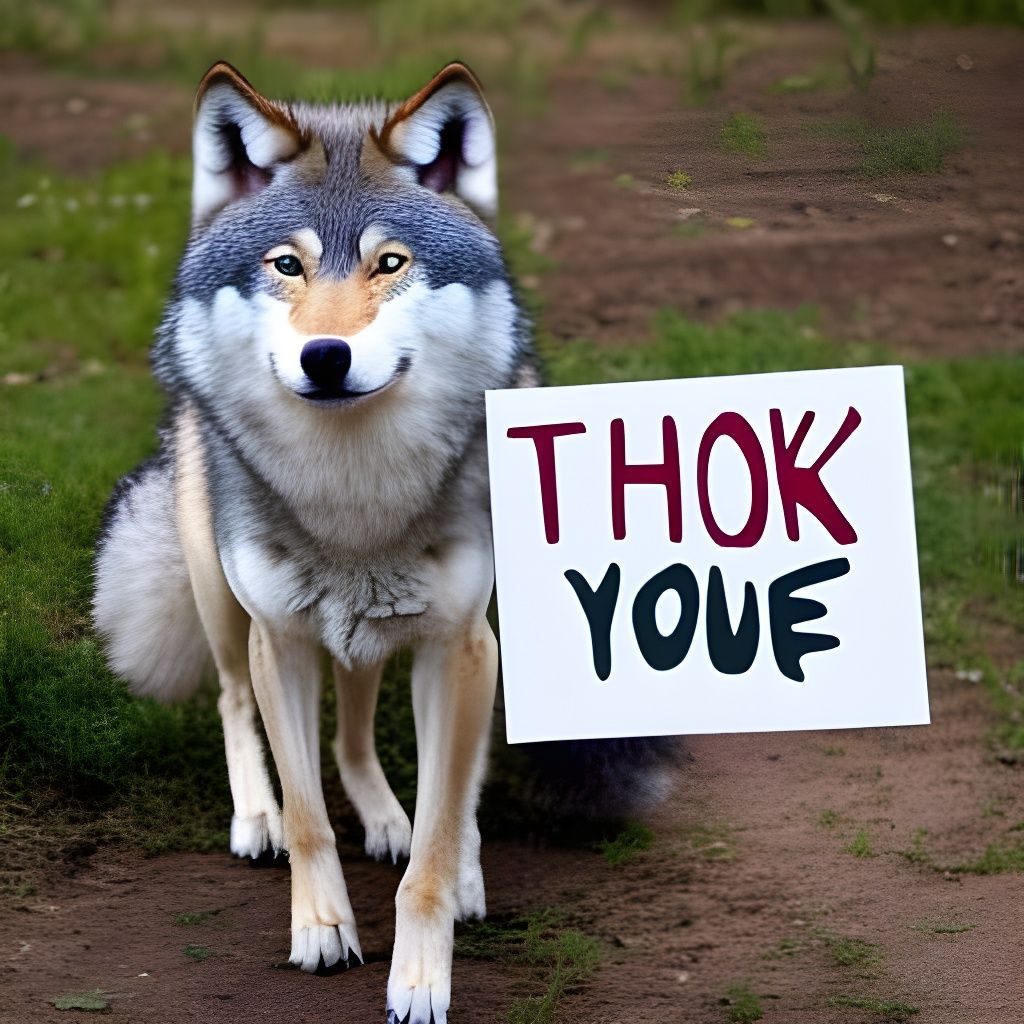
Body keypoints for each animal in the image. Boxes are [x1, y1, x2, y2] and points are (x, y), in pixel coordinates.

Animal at [93, 61, 673, 1023]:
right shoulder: (282, 642)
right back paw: (254, 819)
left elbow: (437, 838)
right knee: (234, 702)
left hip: (387, 634)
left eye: (390, 263)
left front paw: (424, 971)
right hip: (224, 599)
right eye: (285, 264)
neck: (353, 503)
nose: (325, 356)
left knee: (360, 742)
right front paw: (322, 928)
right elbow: (308, 818)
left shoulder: (464, 646)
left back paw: (397, 821)